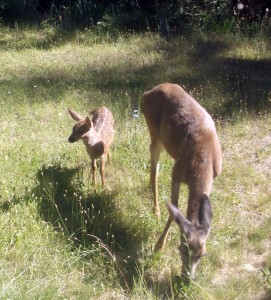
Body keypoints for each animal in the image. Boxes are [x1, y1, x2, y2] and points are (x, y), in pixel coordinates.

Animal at [142, 82, 223, 282]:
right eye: (182, 249)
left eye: (202, 254)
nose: (188, 279)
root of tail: (149, 91)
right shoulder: (177, 174)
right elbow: (173, 211)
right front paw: (158, 247)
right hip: (154, 132)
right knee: (154, 167)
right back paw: (155, 209)